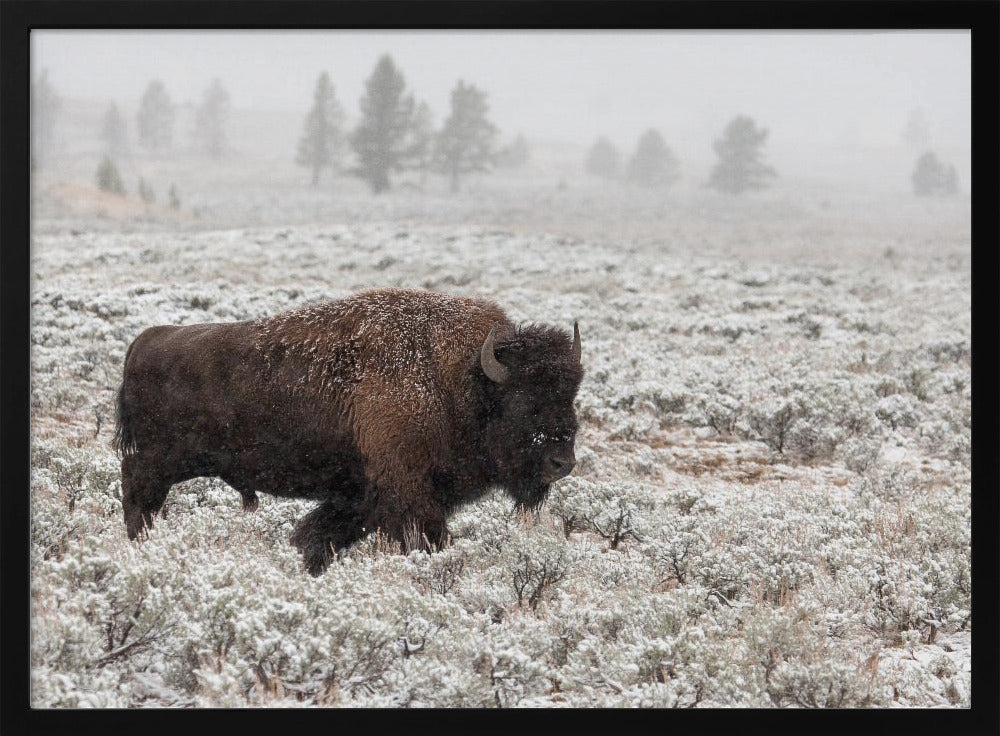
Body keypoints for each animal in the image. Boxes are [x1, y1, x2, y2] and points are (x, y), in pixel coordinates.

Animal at [115, 288, 584, 576]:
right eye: (523, 400)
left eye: (571, 395)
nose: (561, 462)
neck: (457, 381)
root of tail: (143, 341)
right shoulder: (408, 494)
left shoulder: (359, 497)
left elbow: (318, 536)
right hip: (160, 463)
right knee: (138, 497)